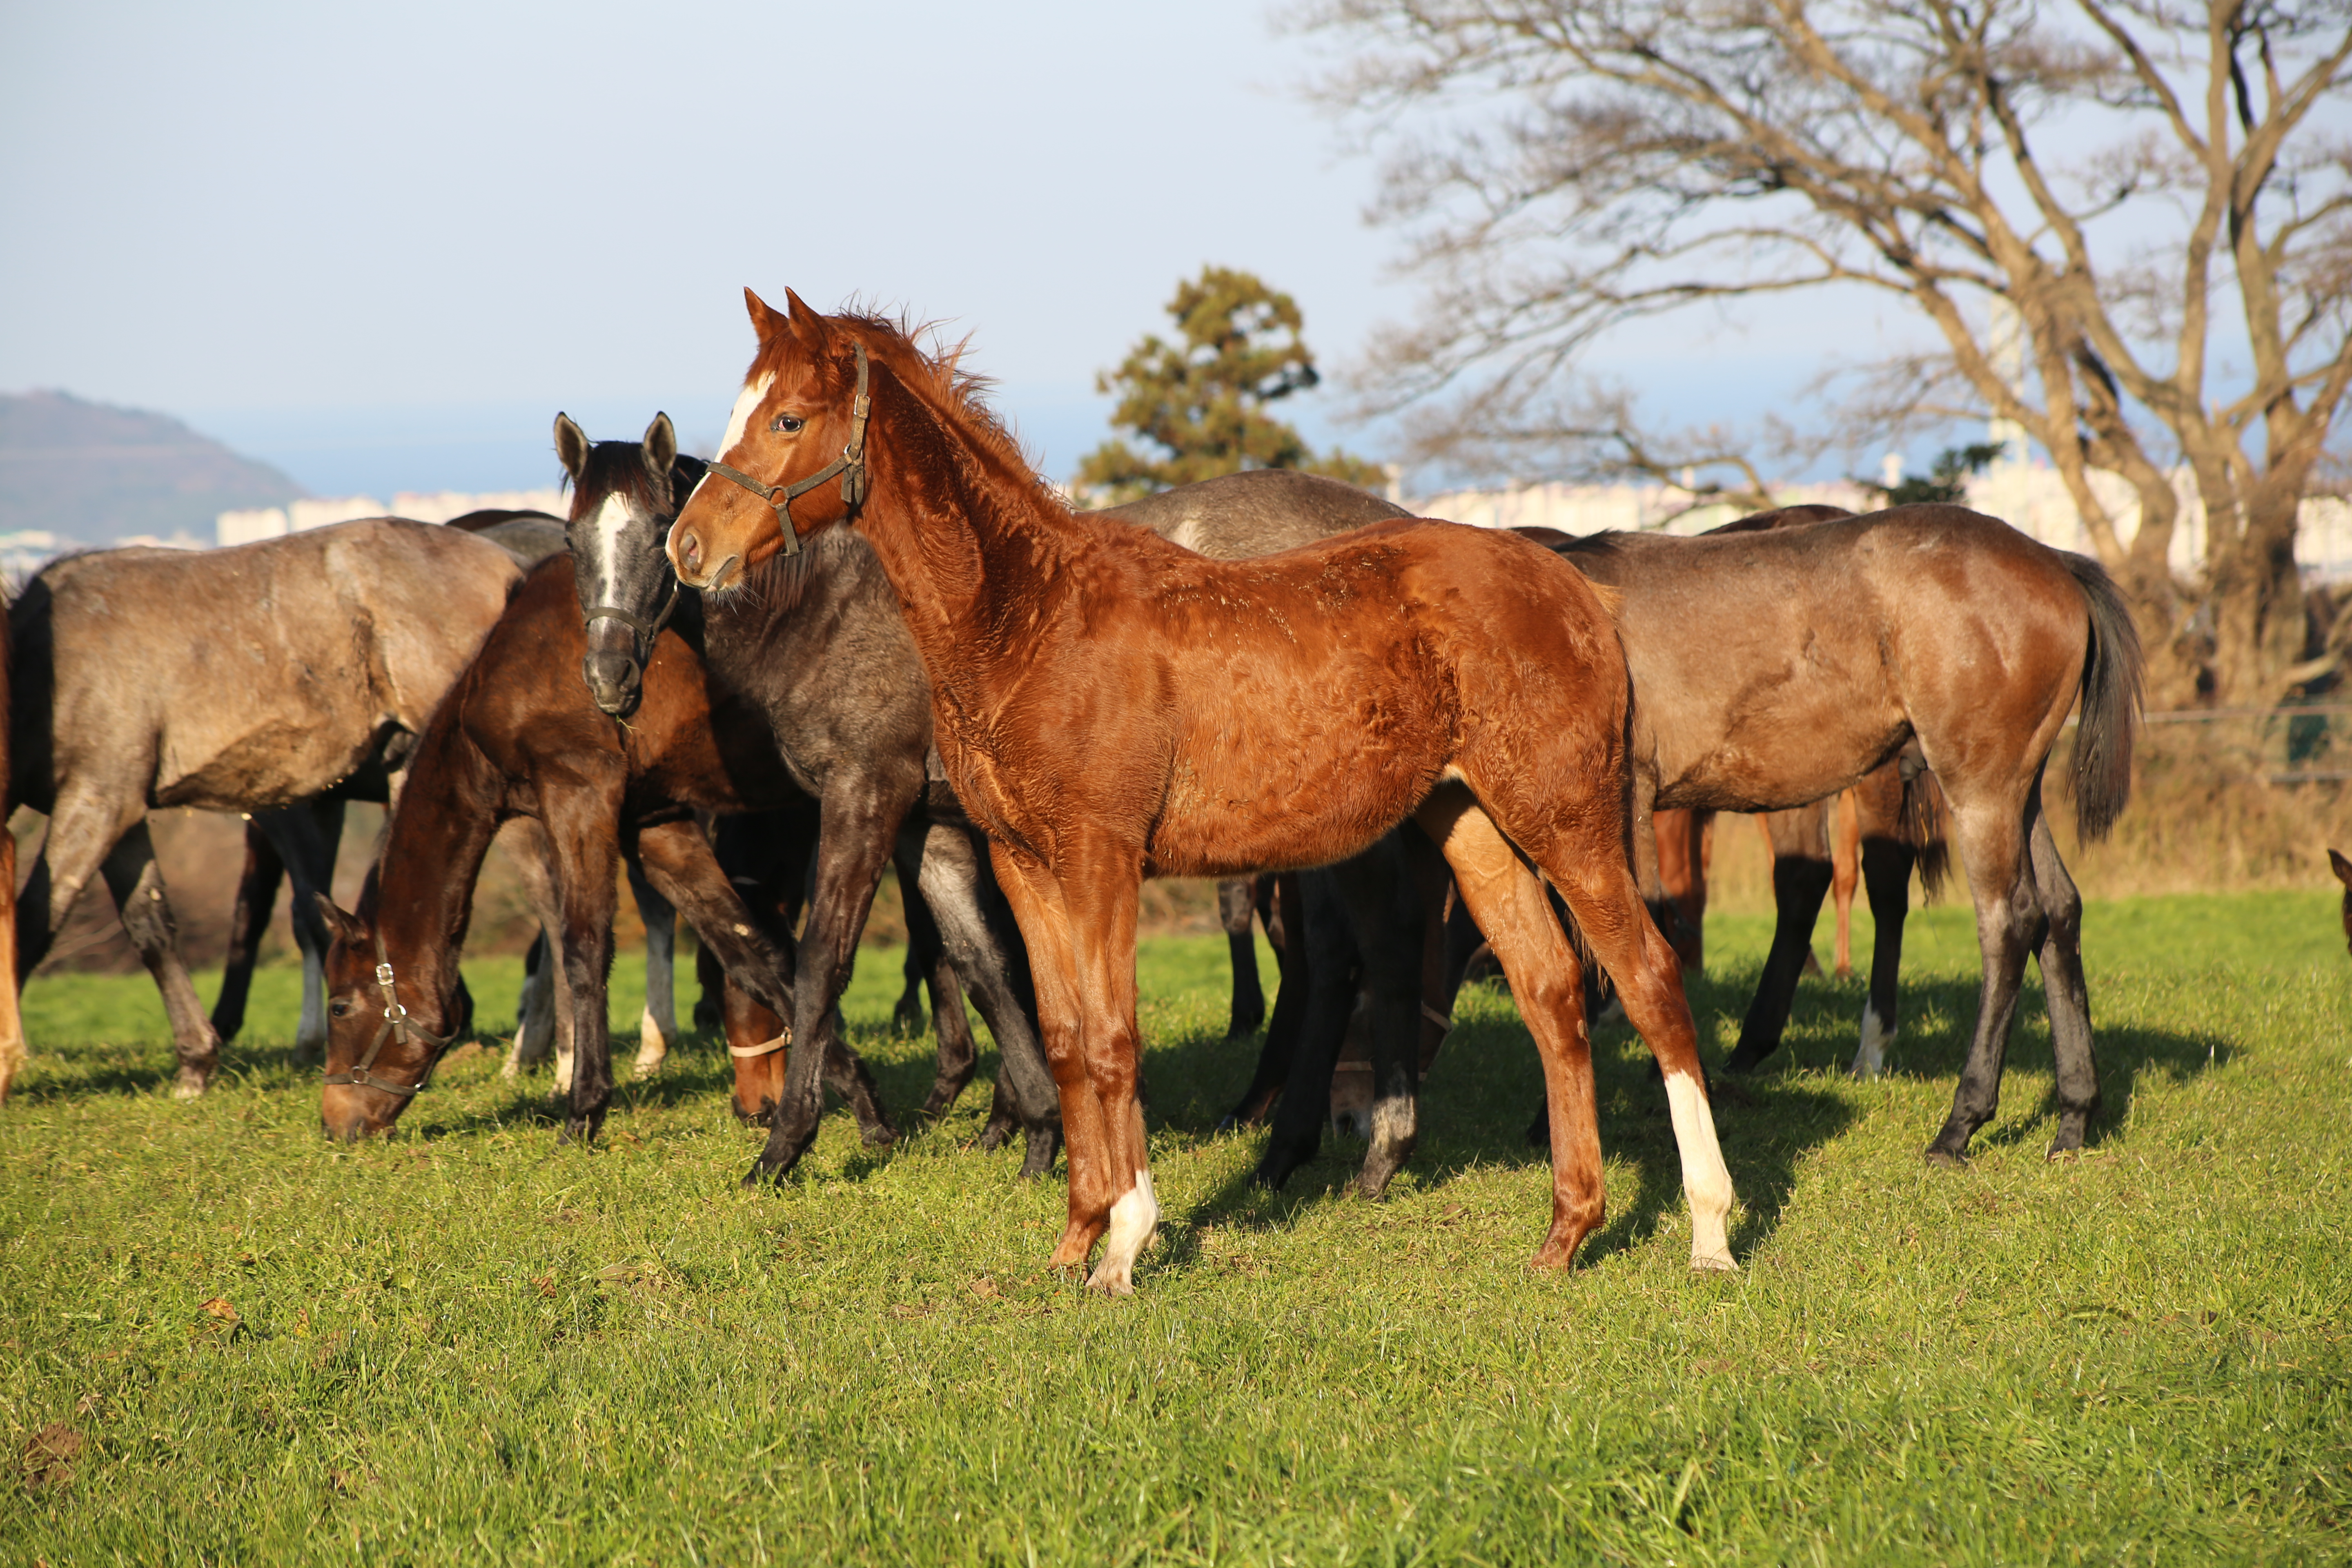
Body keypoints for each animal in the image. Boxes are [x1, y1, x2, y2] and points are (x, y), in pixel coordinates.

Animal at [8, 522, 524, 1100]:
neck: (44, 663)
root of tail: (508, 566)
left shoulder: (98, 797)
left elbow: (34, 920)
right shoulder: (123, 809)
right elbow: (151, 927)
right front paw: (195, 1062)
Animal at [663, 288, 1731, 1297]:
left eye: (789, 419)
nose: (687, 548)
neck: (1031, 618)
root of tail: (1577, 589)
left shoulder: (1099, 855)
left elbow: (1110, 1037)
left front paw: (1125, 1245)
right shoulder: (1021, 861)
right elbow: (1062, 1036)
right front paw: (1074, 1236)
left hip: (1565, 822)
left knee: (1646, 979)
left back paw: (1709, 1234)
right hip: (1473, 825)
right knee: (1550, 992)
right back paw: (1564, 1235)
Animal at [1533, 505, 2145, 1166]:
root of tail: (2055, 560)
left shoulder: (1625, 809)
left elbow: (1618, 951)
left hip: (1979, 791)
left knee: (2010, 922)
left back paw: (1960, 1122)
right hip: (2019, 793)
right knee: (2060, 911)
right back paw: (2074, 1117)